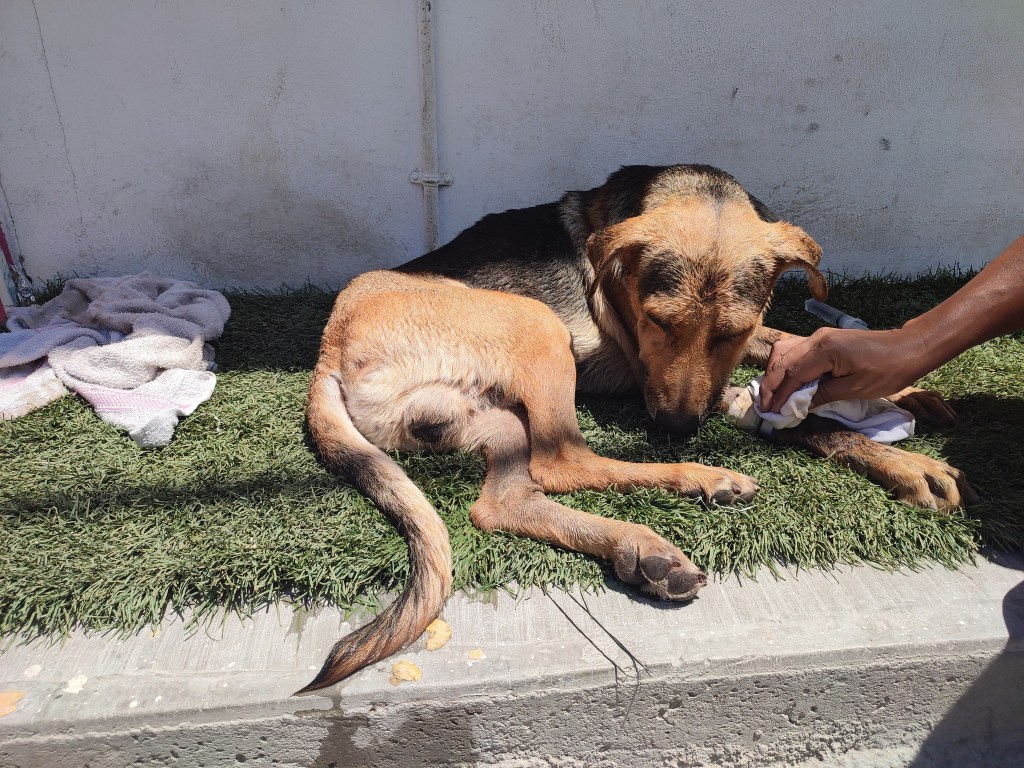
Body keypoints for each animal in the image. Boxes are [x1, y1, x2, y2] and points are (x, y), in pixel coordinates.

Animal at [299, 165, 970, 696]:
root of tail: (330, 348)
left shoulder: (744, 351)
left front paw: (899, 389)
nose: (675, 428)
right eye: (657, 321)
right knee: (564, 461)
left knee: (503, 501)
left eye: (728, 331)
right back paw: (698, 481)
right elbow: (804, 418)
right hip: (536, 325)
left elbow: (797, 343)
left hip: (491, 418)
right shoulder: (670, 383)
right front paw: (907, 462)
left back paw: (640, 547)